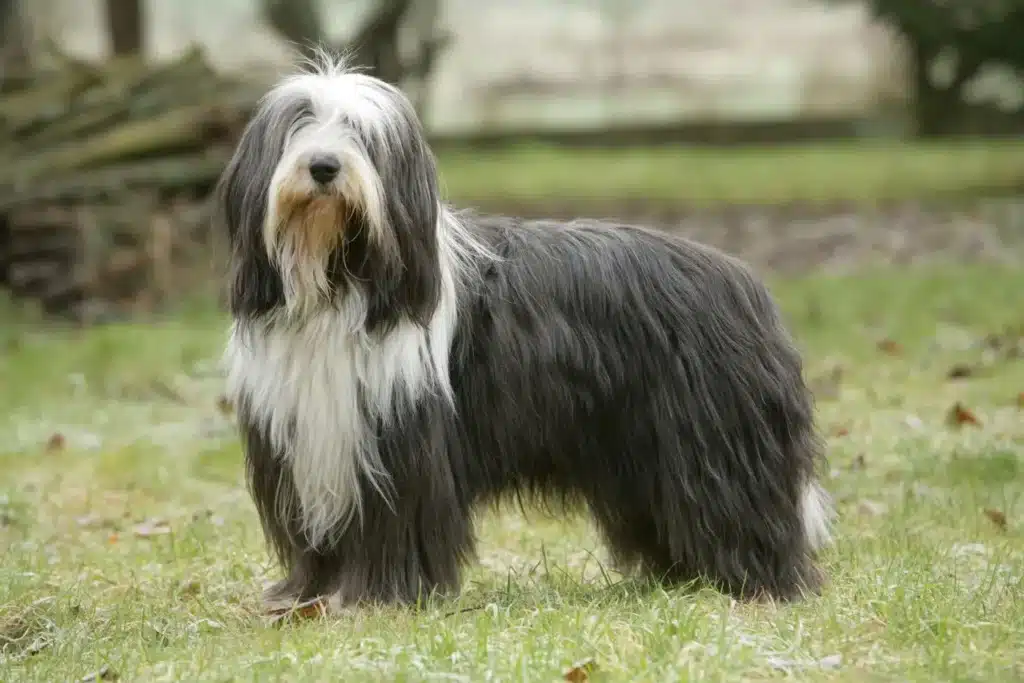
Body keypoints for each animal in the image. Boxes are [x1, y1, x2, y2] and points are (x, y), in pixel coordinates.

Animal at [216, 52, 831, 610]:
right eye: (299, 124)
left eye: (362, 135)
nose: (323, 166)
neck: (337, 281)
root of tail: (742, 280)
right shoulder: (310, 440)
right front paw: (306, 594)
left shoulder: (400, 440)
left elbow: (396, 525)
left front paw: (376, 597)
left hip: (713, 438)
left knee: (740, 507)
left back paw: (757, 582)